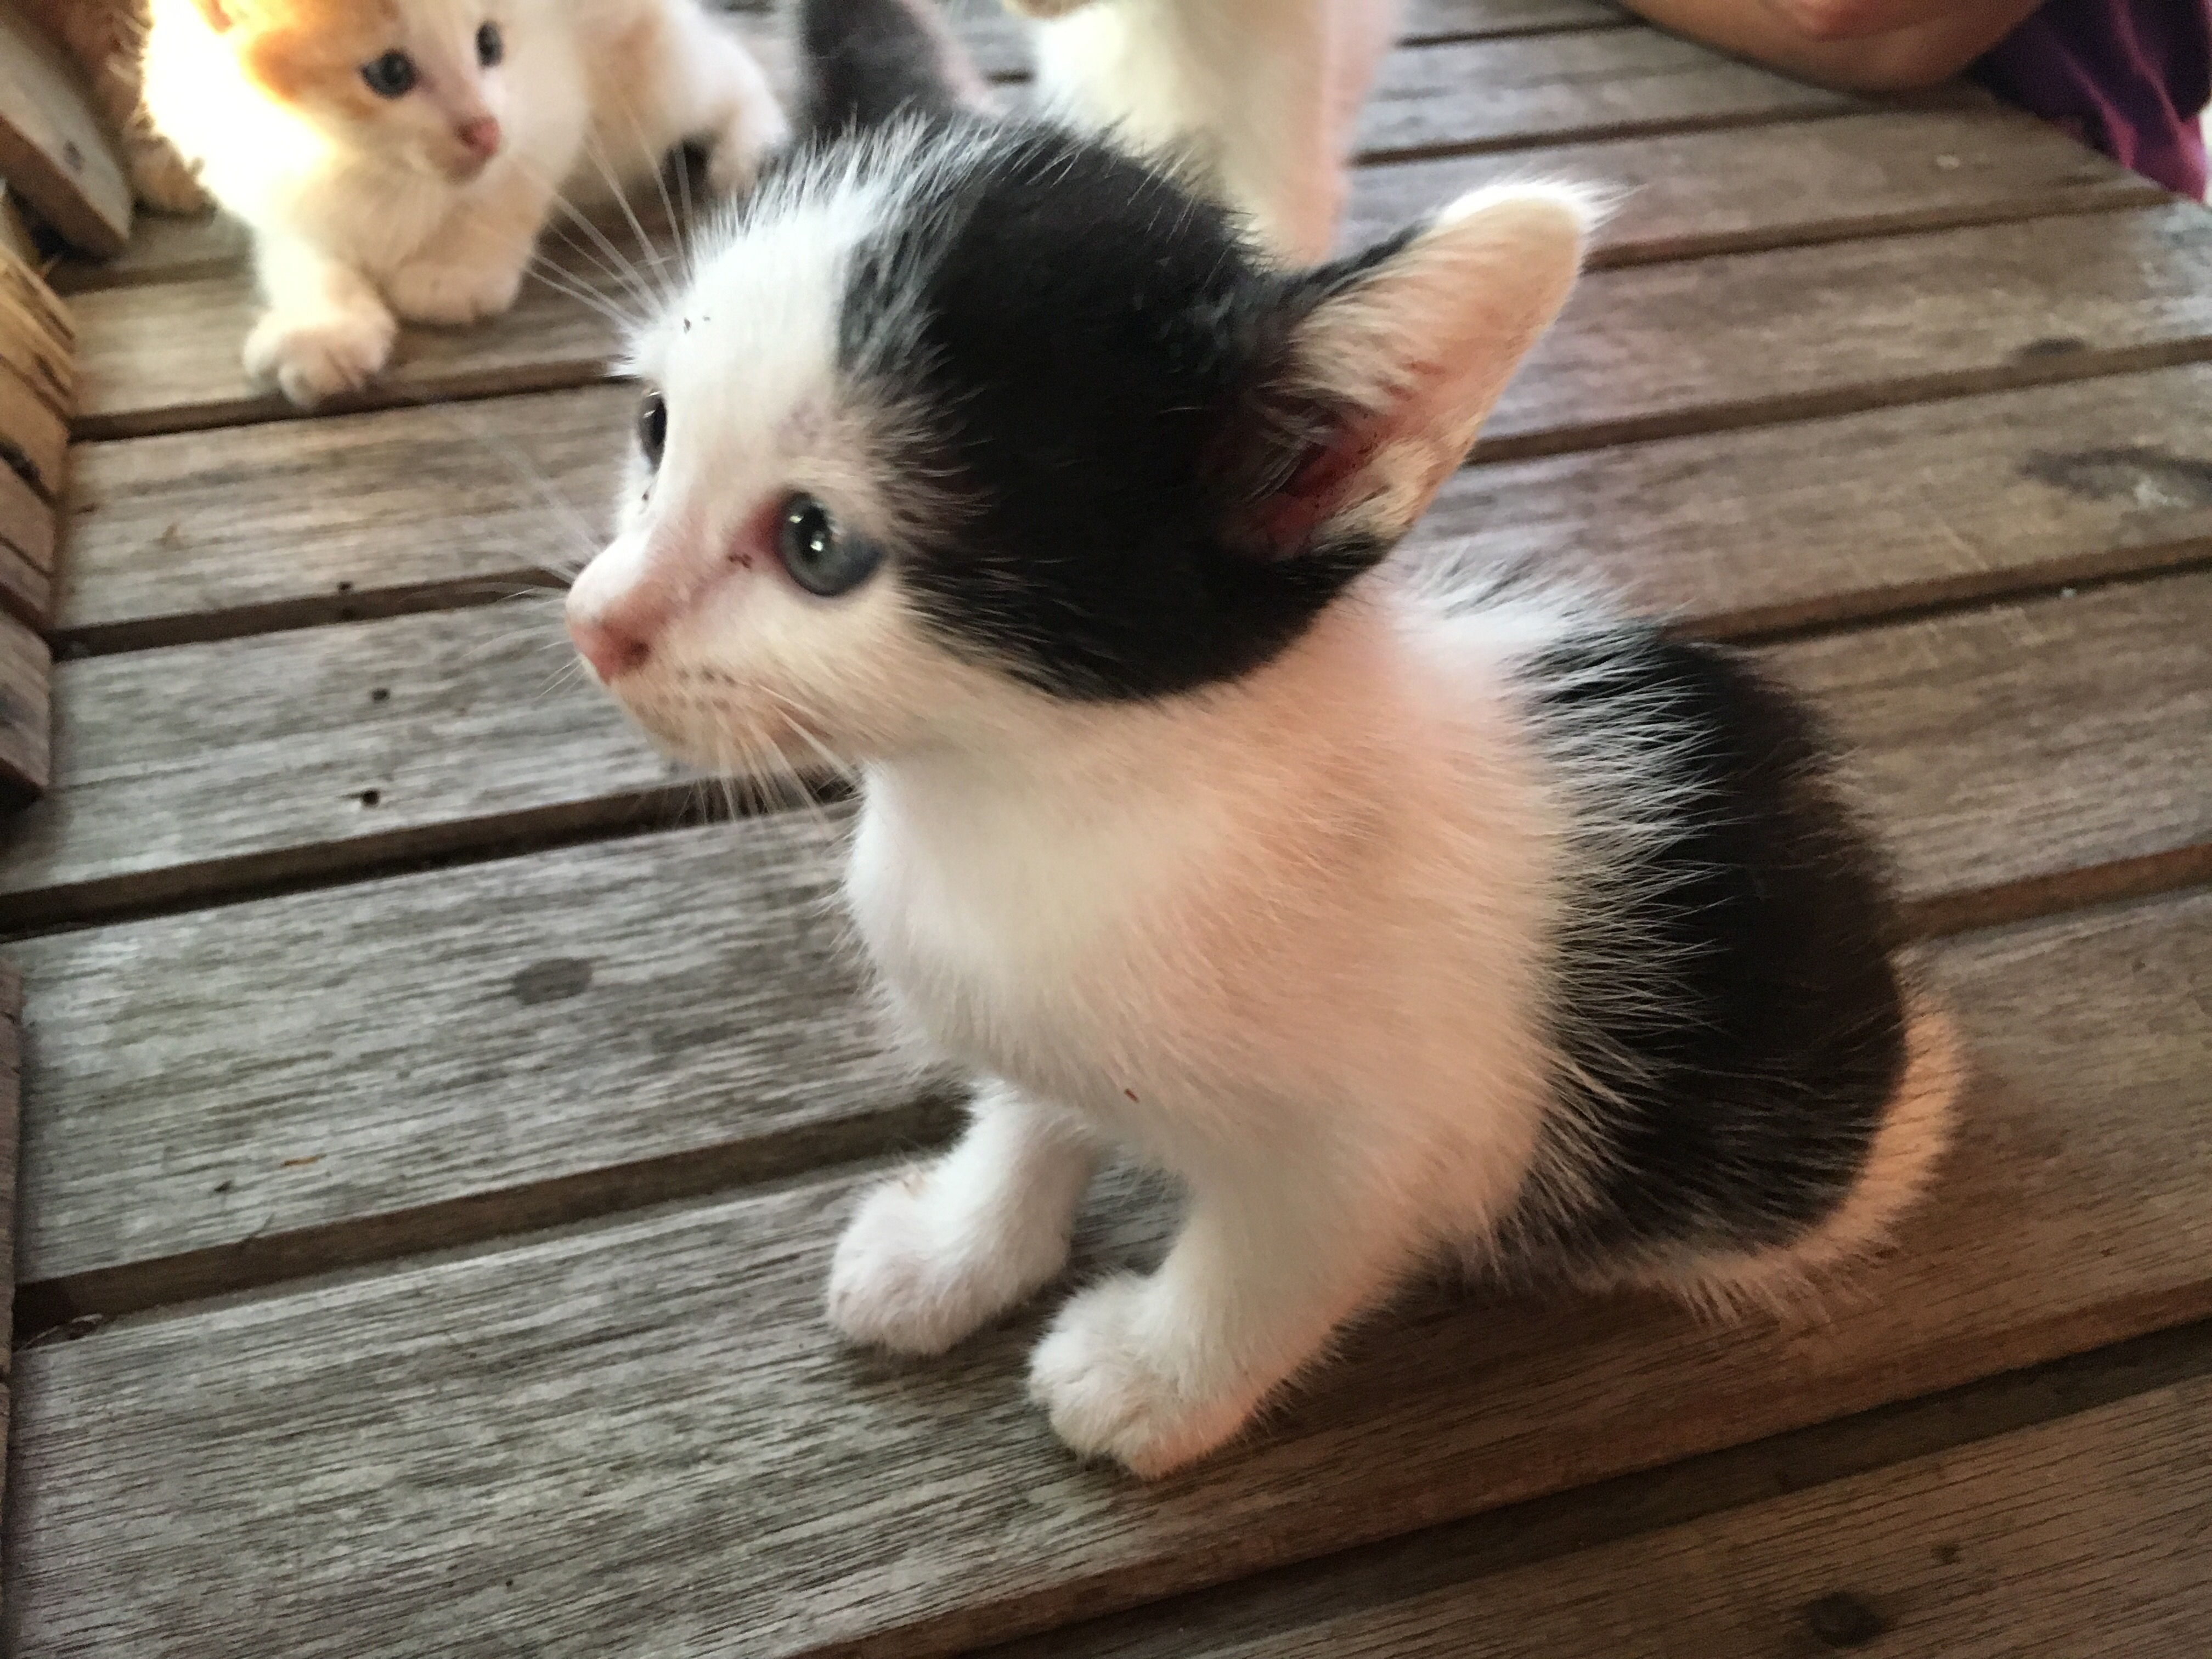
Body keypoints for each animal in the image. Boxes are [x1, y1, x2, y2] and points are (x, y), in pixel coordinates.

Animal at [142, 0, 788, 407]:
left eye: (489, 43)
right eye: (390, 73)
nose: (482, 130)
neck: (371, 169)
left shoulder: (543, 107)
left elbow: (503, 195)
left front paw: (454, 274)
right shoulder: (273, 192)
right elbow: (308, 260)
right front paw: (324, 332)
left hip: (656, 82)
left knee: (733, 70)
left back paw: (752, 152)